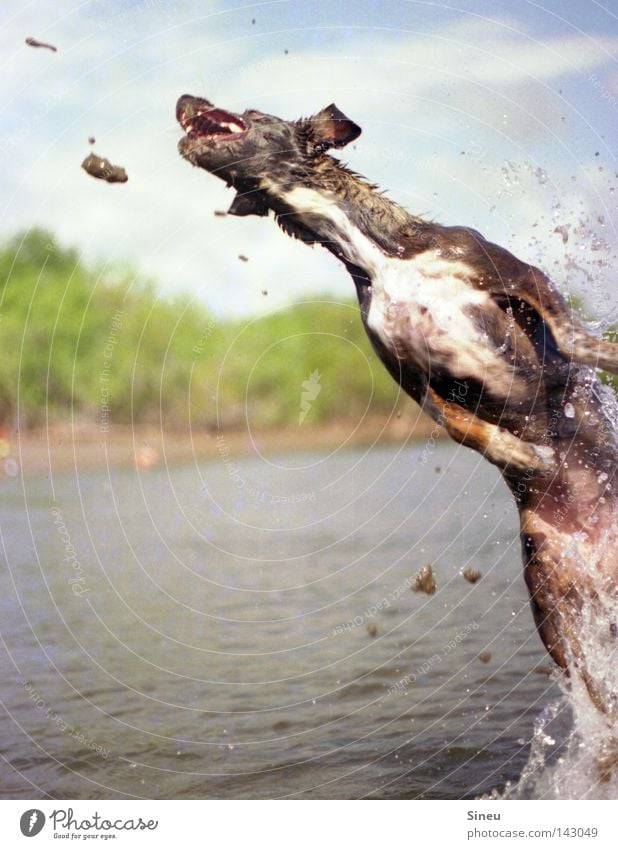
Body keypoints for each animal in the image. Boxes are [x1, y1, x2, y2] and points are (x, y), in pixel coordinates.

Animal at [174, 93, 616, 712]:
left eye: (253, 112)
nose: (183, 99)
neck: (379, 256)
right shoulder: (411, 377)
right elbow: (461, 426)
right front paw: (525, 456)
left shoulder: (520, 281)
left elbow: (575, 340)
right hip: (559, 611)